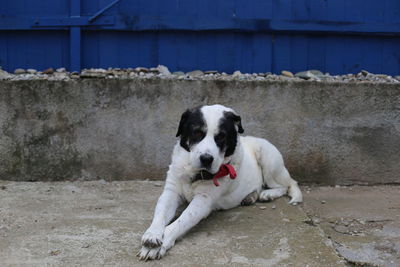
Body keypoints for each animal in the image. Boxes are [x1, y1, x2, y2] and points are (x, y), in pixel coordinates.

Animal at [139, 104, 302, 262]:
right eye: (197, 133)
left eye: (221, 136)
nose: (206, 159)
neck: (195, 173)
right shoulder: (171, 192)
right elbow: (160, 214)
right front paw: (152, 235)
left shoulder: (203, 201)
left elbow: (182, 220)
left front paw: (162, 242)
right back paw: (250, 197)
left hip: (268, 159)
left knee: (287, 185)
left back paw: (268, 194)